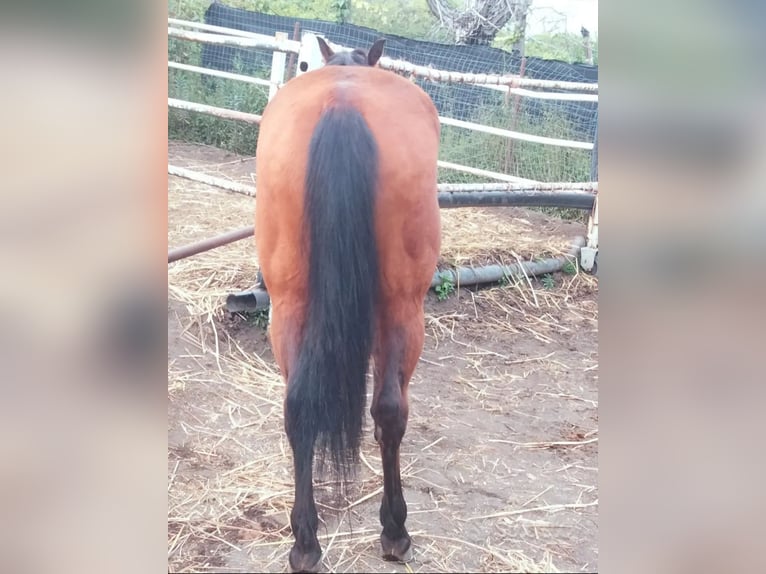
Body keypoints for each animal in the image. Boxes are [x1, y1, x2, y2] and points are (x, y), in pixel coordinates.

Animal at [254, 37, 441, 572]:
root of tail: (342, 104)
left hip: (288, 304)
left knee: (297, 407)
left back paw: (305, 542)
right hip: (404, 308)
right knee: (390, 409)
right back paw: (395, 530)